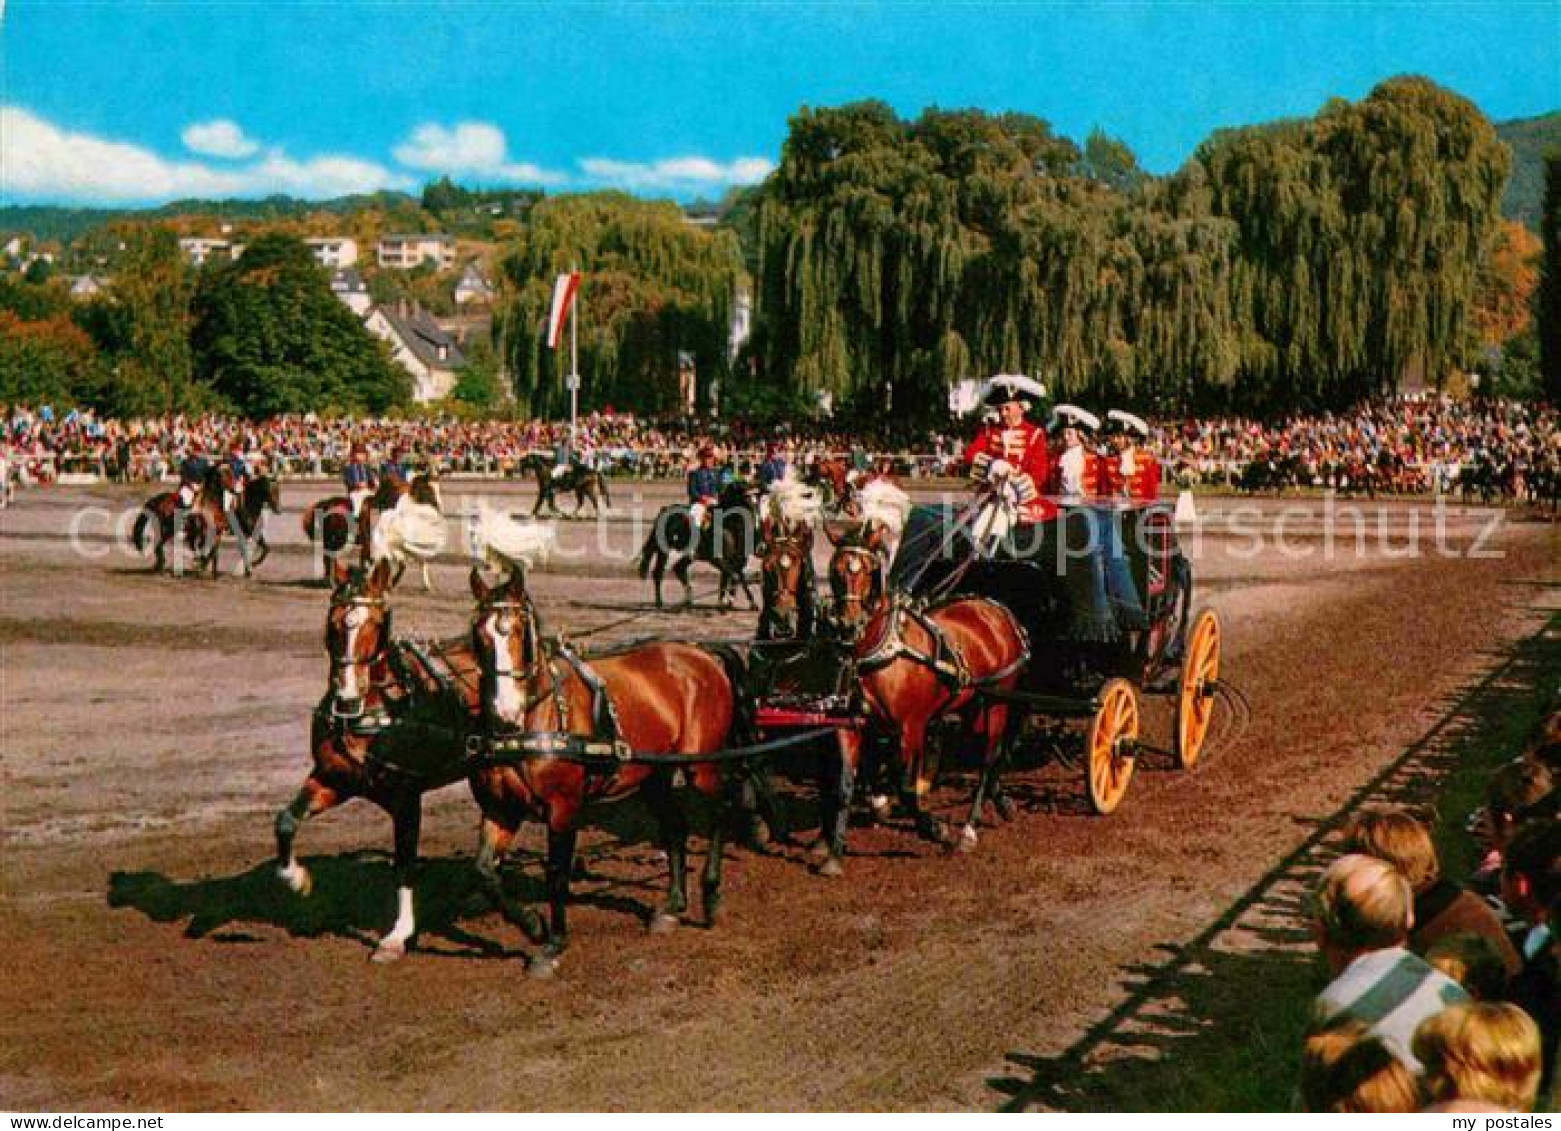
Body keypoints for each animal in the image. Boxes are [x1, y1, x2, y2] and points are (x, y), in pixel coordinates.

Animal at [271, 561, 480, 954]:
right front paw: (296, 879)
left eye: (376, 624)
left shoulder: (407, 797)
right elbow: (287, 820)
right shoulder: (333, 779)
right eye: (334, 622)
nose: (347, 696)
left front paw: (398, 934)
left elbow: (405, 863)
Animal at [465, 567, 746, 973]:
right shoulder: (500, 809)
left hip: (700, 766)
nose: (505, 712)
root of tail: (701, 653)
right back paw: (673, 905)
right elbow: (484, 872)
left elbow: (556, 874)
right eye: (478, 634)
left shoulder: (563, 808)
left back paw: (710, 895)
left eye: (519, 631)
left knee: (720, 812)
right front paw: (532, 924)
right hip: (654, 775)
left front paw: (553, 943)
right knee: (675, 826)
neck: (534, 721)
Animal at [630, 477, 758, 608]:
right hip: (663, 551)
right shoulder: (716, 559)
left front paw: (750, 602)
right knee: (659, 573)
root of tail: (664, 509)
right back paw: (660, 602)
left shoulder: (734, 559)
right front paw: (725, 602)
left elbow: (740, 577)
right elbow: (734, 576)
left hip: (689, 555)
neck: (726, 525)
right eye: (746, 496)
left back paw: (688, 600)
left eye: (754, 497)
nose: (754, 514)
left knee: (678, 569)